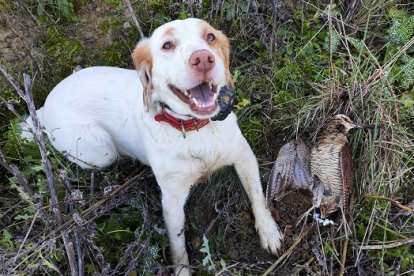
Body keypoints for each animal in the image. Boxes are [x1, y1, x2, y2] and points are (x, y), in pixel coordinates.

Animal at [24, 18, 284, 274]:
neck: (194, 128)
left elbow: (258, 197)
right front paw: (182, 271)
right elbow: (178, 247)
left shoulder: (244, 155)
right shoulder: (171, 199)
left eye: (210, 37)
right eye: (167, 45)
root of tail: (44, 108)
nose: (203, 59)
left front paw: (269, 231)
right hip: (101, 153)